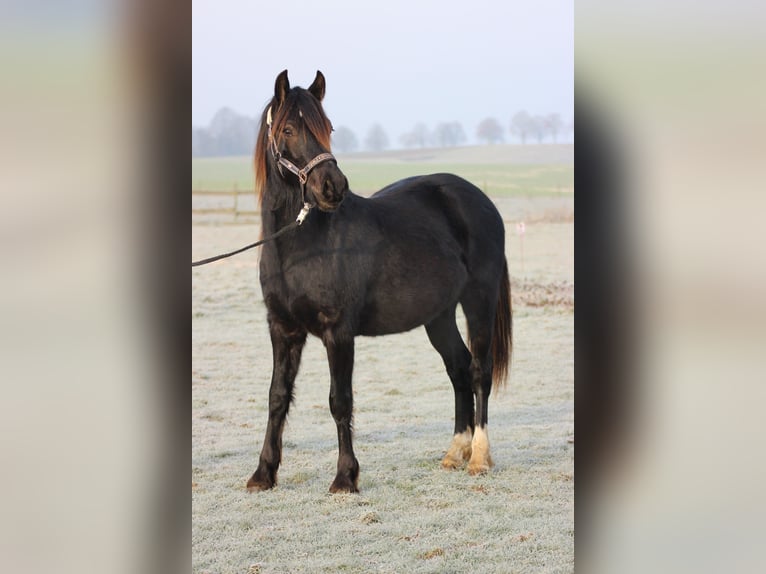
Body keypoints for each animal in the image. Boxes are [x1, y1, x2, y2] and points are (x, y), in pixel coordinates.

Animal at [249, 71, 512, 496]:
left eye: (327, 127)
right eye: (288, 129)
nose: (333, 186)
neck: (303, 245)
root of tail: (480, 199)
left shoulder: (338, 332)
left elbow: (340, 400)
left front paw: (345, 478)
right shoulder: (282, 328)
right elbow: (277, 397)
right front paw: (262, 474)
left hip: (479, 302)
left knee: (479, 371)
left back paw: (479, 458)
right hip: (439, 316)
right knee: (458, 368)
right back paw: (455, 453)